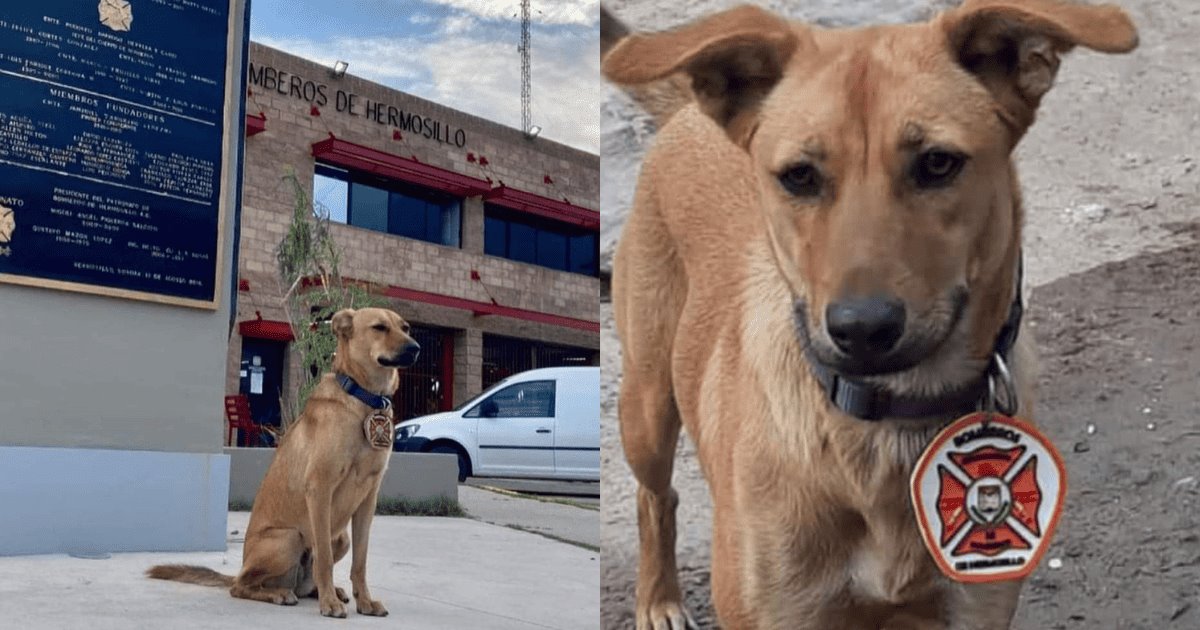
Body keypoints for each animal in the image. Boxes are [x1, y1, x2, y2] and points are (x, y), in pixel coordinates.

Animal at [150, 307, 417, 614]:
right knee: (240, 586)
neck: (365, 399)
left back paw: (324, 591)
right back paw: (282, 594)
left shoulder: (368, 499)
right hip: (289, 538)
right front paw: (329, 604)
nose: (416, 348)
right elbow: (324, 559)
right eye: (379, 327)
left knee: (303, 580)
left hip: (341, 538)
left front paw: (364, 601)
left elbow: (360, 562)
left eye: (405, 327)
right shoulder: (320, 488)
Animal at [604, 3, 1137, 628]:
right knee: (655, 496)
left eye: (937, 163)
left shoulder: (971, 608)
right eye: (799, 175)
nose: (861, 328)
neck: (891, 426)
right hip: (646, 402)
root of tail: (687, 112)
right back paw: (658, 597)